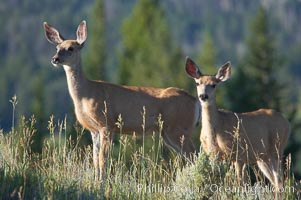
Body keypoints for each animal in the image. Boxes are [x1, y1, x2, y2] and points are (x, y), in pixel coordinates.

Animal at [42, 20, 199, 181]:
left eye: (71, 48)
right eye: (57, 47)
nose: (55, 59)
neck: (86, 94)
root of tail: (195, 101)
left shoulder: (106, 124)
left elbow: (102, 158)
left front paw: (102, 182)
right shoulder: (93, 129)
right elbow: (94, 159)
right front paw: (96, 180)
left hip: (178, 128)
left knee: (195, 154)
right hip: (169, 133)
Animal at [184, 57, 290, 190]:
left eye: (213, 85)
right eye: (197, 83)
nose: (203, 96)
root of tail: (286, 121)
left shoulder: (239, 154)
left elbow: (240, 183)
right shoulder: (213, 155)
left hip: (277, 148)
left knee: (279, 179)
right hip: (262, 157)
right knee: (276, 181)